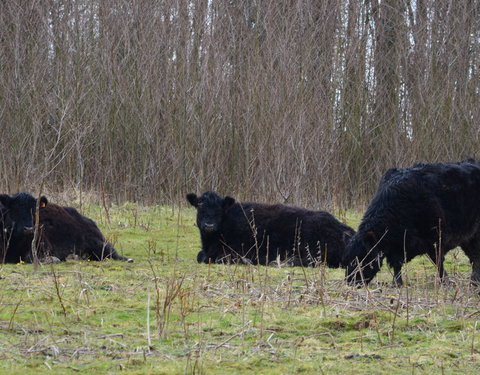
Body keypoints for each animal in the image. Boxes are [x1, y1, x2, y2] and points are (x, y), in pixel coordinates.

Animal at [186, 191, 354, 268]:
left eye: (219, 209)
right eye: (200, 206)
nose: (209, 225)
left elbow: (214, 258)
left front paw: (245, 260)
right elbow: (200, 255)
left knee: (317, 261)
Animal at [344, 159, 480, 288]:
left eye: (361, 259)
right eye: (347, 260)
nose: (349, 281)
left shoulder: (435, 240)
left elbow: (438, 262)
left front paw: (445, 282)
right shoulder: (397, 247)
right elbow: (396, 265)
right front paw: (397, 283)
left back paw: (473, 282)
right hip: (467, 237)